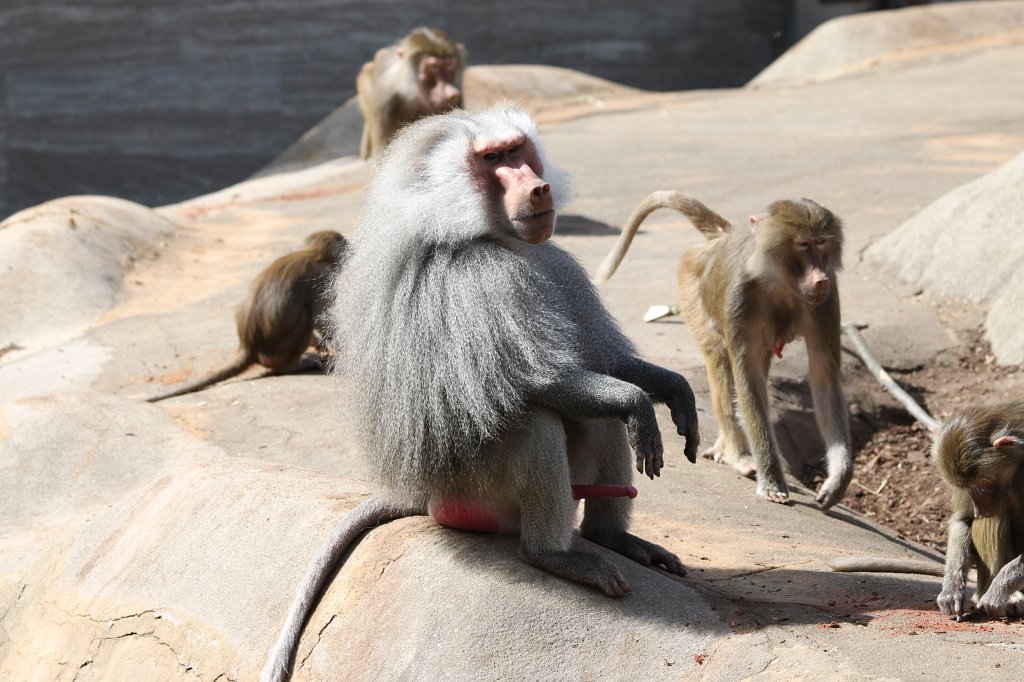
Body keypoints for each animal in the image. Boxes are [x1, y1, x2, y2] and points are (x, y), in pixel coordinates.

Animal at [146, 230, 349, 402]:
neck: (312, 254)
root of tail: (248, 347)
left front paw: (321, 345)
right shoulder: (323, 279)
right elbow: (322, 319)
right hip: (280, 350)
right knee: (305, 317)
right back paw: (293, 365)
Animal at [260, 105, 700, 682]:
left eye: (516, 150)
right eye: (491, 160)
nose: (538, 187)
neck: (491, 237)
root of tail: (426, 498)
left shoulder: (556, 263)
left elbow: (606, 367)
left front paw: (673, 390)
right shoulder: (478, 278)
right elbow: (543, 381)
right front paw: (640, 404)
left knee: (601, 417)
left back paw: (613, 539)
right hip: (476, 491)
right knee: (537, 420)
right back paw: (552, 556)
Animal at [594, 191, 853, 509]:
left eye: (822, 243)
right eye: (803, 245)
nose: (820, 279)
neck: (778, 280)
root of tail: (719, 239)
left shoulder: (826, 302)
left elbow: (824, 379)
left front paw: (838, 478)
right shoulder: (741, 298)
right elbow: (748, 382)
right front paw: (771, 480)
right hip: (691, 288)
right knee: (720, 363)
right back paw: (737, 456)